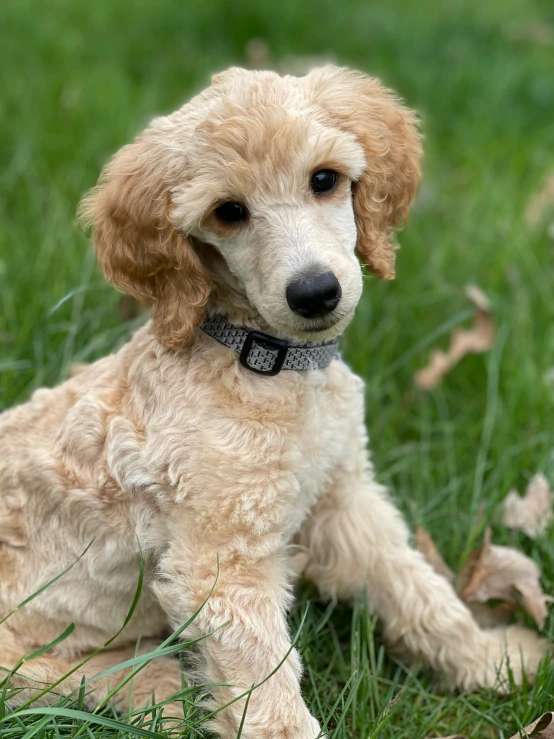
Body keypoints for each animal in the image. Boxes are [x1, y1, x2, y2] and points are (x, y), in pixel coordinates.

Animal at [0, 66, 544, 736]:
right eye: (229, 212)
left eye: (324, 180)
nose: (315, 292)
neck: (265, 361)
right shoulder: (220, 564)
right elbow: (267, 689)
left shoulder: (344, 500)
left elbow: (414, 588)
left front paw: (490, 658)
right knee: (90, 684)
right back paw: (164, 693)